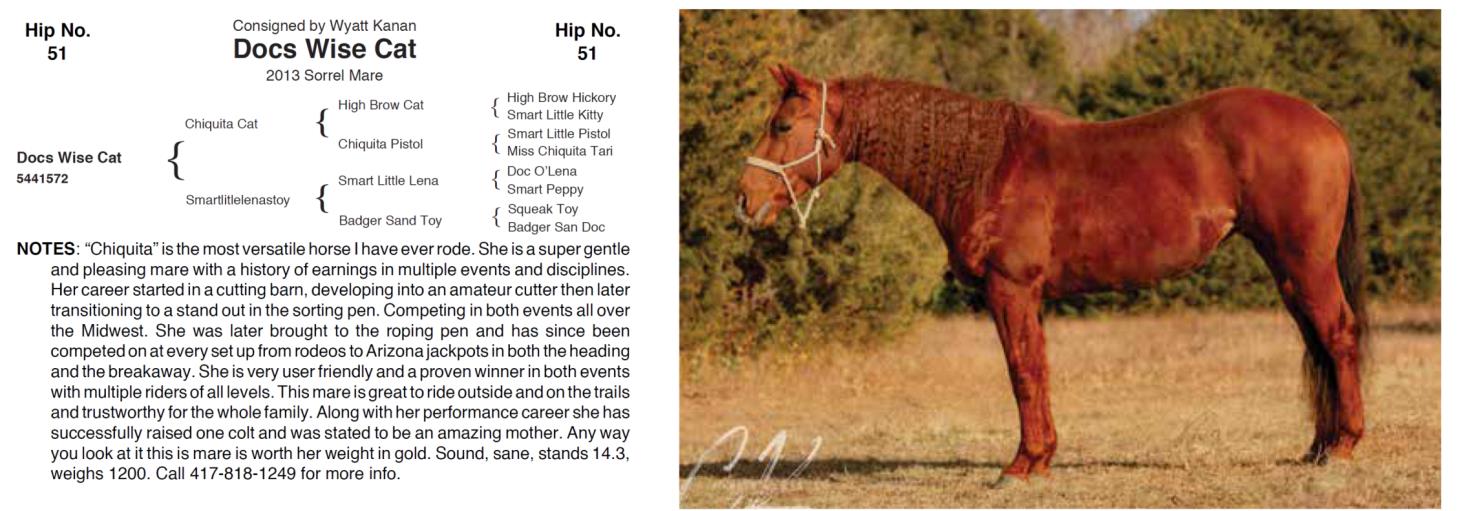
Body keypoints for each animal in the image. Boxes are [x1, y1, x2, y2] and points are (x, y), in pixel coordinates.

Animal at [735, 64, 1368, 487]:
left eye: (783, 124)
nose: (745, 200)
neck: (985, 163)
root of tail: (1327, 124)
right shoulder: (1025, 296)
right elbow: (1036, 369)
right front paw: (1041, 457)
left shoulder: (1010, 288)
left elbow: (1022, 371)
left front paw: (1023, 464)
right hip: (1289, 268)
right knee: (1317, 342)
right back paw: (1318, 446)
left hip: (1304, 261)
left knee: (1337, 335)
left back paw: (1343, 446)